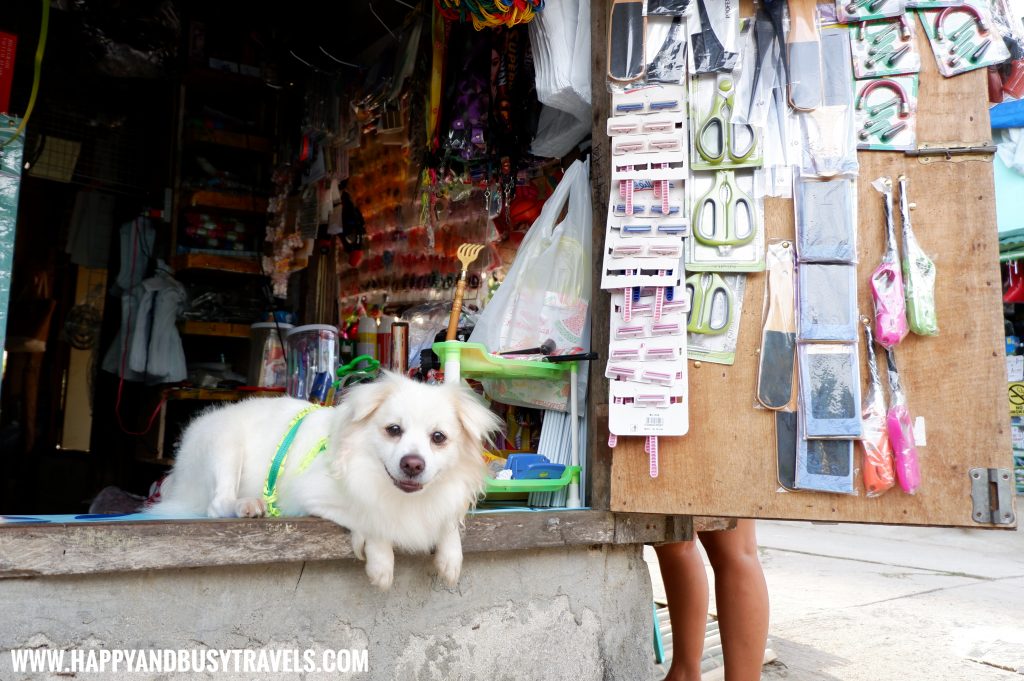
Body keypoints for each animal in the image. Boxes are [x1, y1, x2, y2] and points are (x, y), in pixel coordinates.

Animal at [149, 368, 501, 585]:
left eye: (438, 438)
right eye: (393, 430)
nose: (413, 464)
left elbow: (447, 521)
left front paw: (451, 558)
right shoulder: (309, 495)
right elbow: (372, 518)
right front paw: (381, 562)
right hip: (225, 444)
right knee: (218, 503)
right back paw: (247, 505)